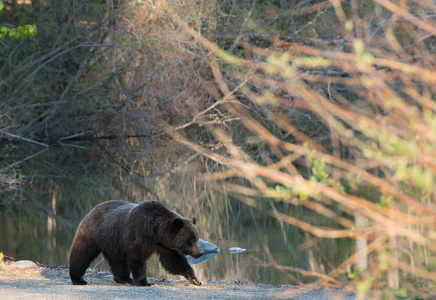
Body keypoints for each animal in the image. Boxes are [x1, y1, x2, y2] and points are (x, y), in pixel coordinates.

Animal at [69, 199, 204, 286]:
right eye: (191, 240)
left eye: (196, 238)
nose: (200, 252)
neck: (155, 231)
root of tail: (92, 209)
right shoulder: (138, 234)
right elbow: (137, 258)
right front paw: (143, 281)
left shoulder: (164, 245)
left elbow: (174, 261)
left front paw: (195, 279)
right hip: (94, 233)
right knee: (82, 253)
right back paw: (78, 279)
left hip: (114, 242)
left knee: (118, 261)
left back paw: (124, 279)